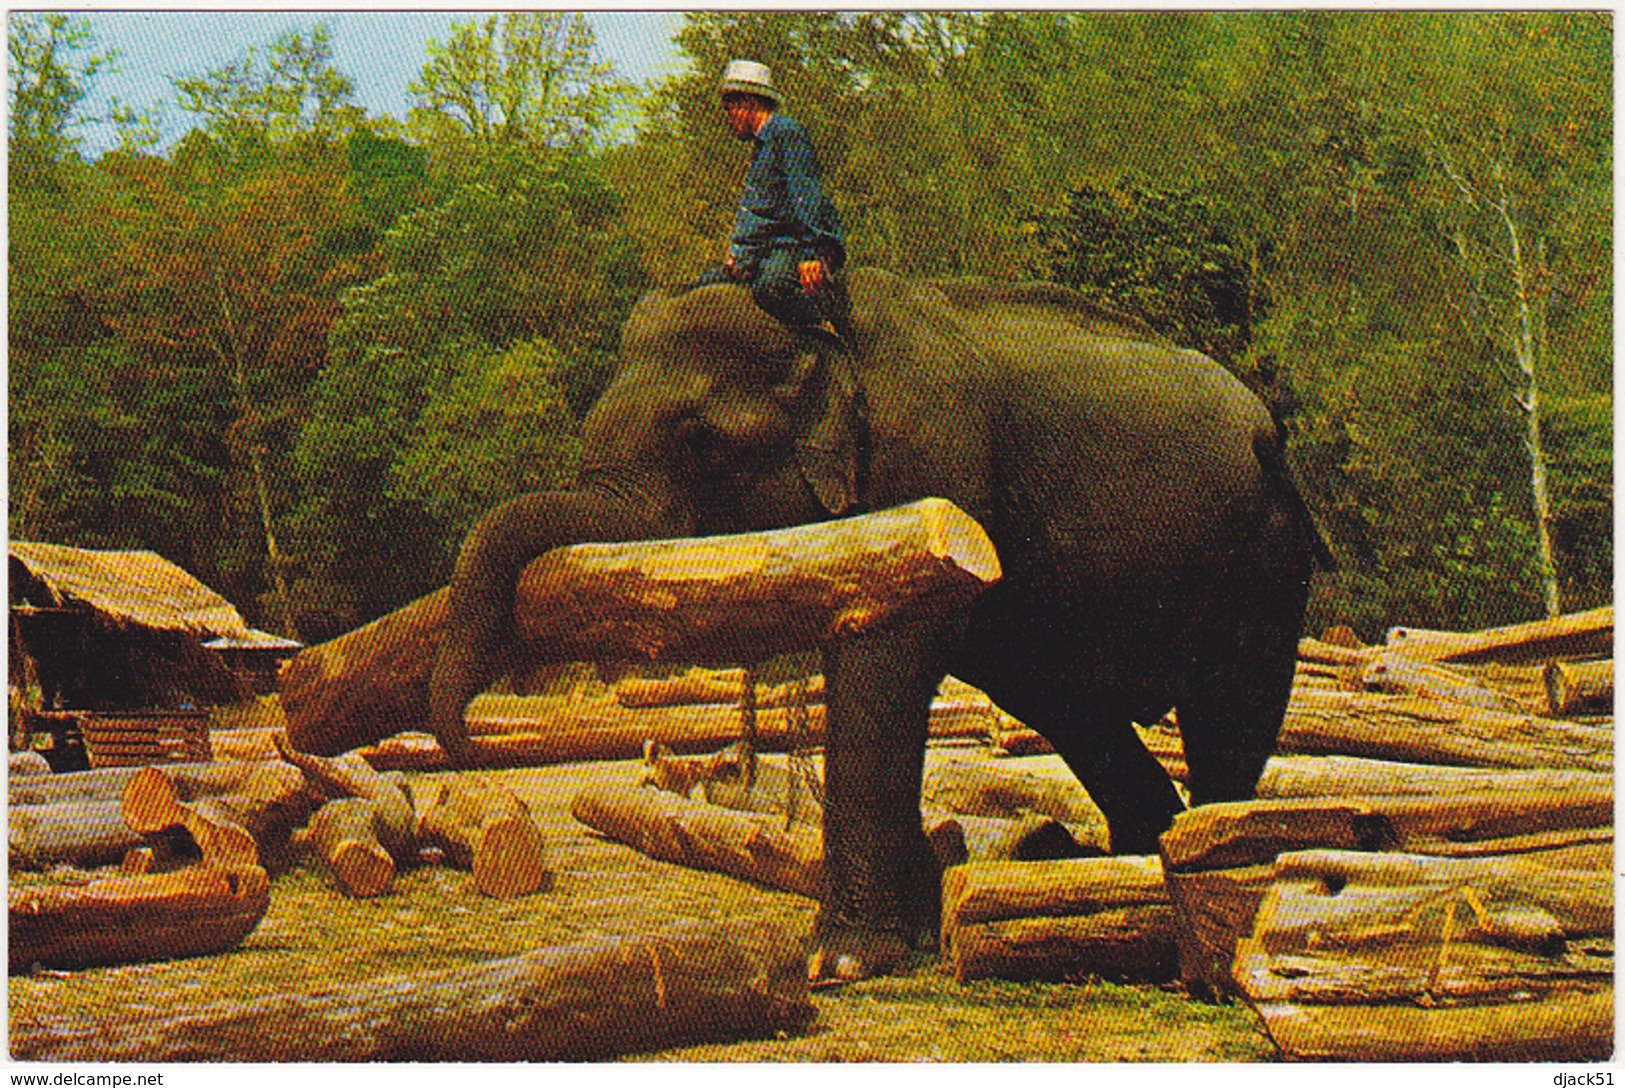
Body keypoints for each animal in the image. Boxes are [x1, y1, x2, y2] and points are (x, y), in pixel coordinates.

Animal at [429, 267, 1319, 987]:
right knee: (1075, 713)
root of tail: (1266, 419)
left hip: (1264, 555)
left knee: (1227, 710)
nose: (469, 744)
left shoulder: (927, 466)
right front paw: (916, 925)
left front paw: (839, 963)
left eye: (700, 440)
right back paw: (1109, 869)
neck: (824, 334)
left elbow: (882, 668)